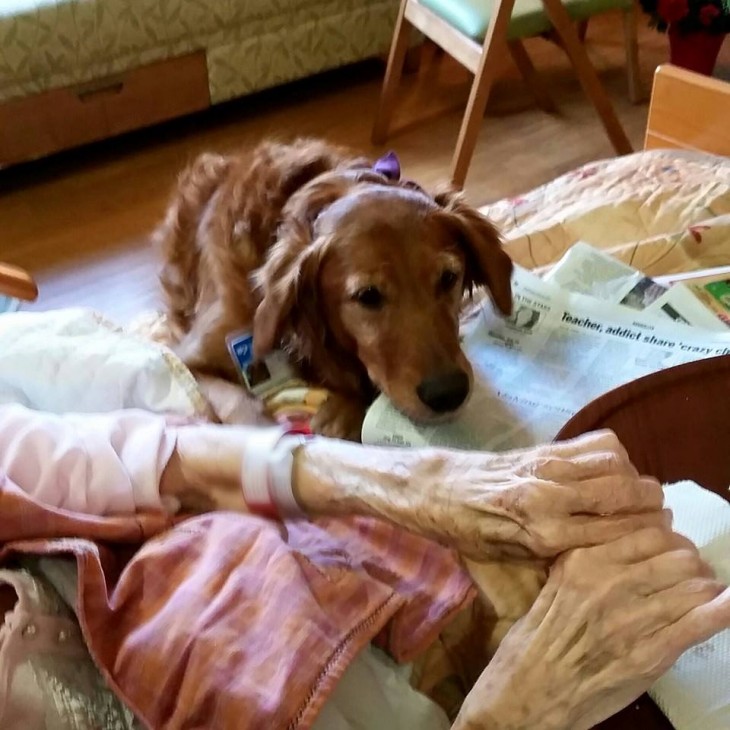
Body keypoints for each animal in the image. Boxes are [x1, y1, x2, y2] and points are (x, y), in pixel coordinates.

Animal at [155, 137, 512, 438]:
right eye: (367, 296)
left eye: (449, 277)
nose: (449, 394)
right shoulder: (185, 358)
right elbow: (241, 405)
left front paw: (342, 414)